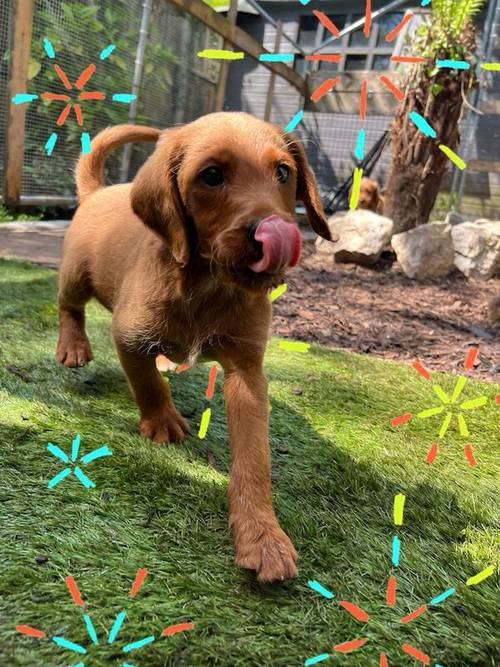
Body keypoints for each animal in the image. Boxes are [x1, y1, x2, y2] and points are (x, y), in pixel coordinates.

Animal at [56, 115, 330, 584]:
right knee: (68, 304)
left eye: (282, 172)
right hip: (77, 273)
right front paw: (162, 421)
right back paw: (72, 345)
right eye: (212, 176)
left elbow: (254, 458)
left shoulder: (247, 371)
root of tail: (99, 191)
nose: (273, 234)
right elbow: (146, 384)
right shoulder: (128, 335)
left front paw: (262, 535)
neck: (207, 284)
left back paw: (168, 358)